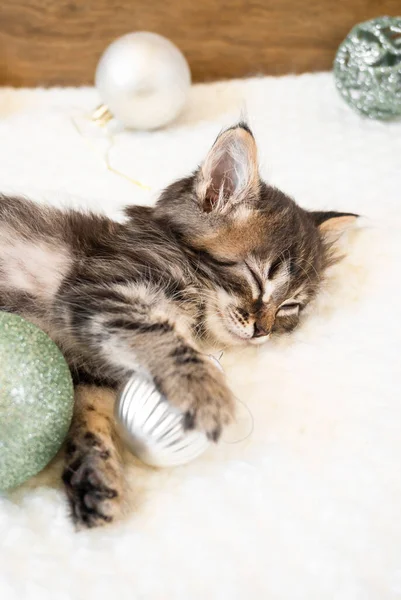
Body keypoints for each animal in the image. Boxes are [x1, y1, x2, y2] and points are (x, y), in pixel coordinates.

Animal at [0, 124, 356, 528]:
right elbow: (162, 336)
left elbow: (91, 417)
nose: (262, 331)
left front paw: (97, 480)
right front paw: (205, 391)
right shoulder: (99, 291)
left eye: (290, 306)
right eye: (258, 277)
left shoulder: (90, 371)